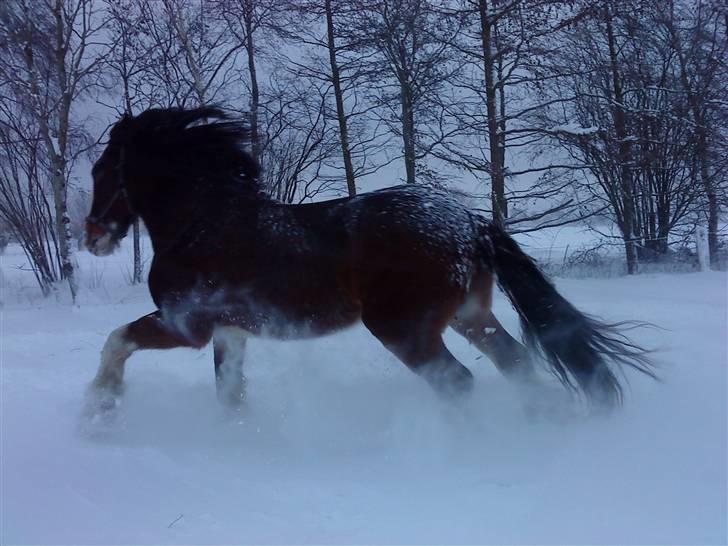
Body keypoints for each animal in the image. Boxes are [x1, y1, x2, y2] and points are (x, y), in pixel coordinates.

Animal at [85, 105, 656, 412]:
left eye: (102, 170)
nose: (92, 236)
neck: (202, 224)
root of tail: (471, 224)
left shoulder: (186, 325)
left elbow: (117, 339)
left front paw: (101, 405)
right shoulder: (229, 332)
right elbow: (230, 396)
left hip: (403, 329)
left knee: (458, 383)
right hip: (471, 315)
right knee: (514, 362)